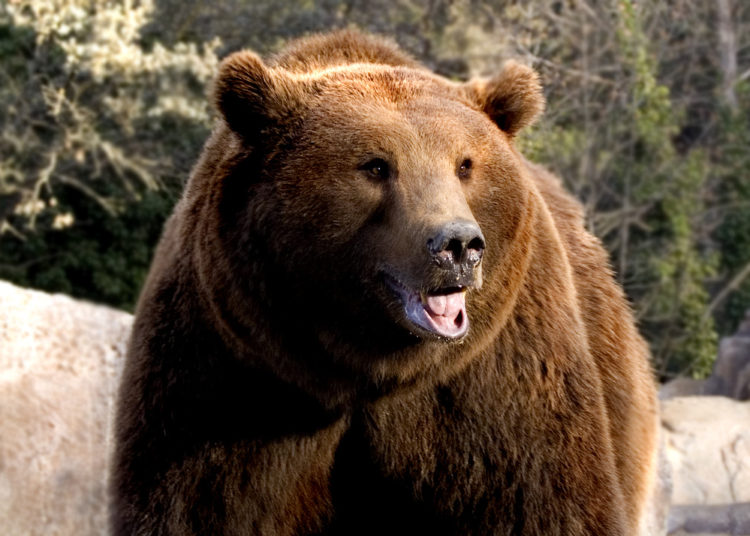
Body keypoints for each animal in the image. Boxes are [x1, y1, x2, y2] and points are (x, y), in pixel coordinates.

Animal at [111, 30, 660, 536]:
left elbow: (539, 500)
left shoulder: (495, 382)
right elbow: (201, 501)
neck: (369, 367)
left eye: (465, 164)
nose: (458, 245)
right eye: (376, 165)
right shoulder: (229, 373)